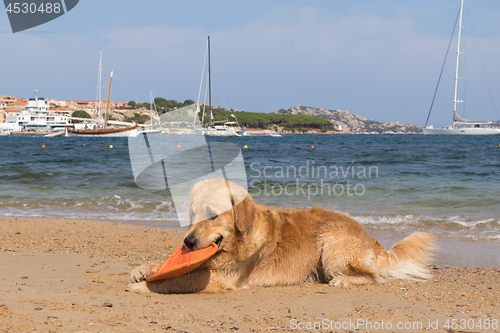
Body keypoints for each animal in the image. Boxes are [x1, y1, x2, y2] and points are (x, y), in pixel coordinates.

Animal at [126, 178, 438, 292]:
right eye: (192, 214)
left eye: (212, 214)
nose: (188, 242)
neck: (237, 242)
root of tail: (369, 237)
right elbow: (168, 268)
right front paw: (144, 269)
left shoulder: (220, 277)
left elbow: (177, 279)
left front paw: (145, 287)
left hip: (332, 247)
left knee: (372, 276)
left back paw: (342, 281)